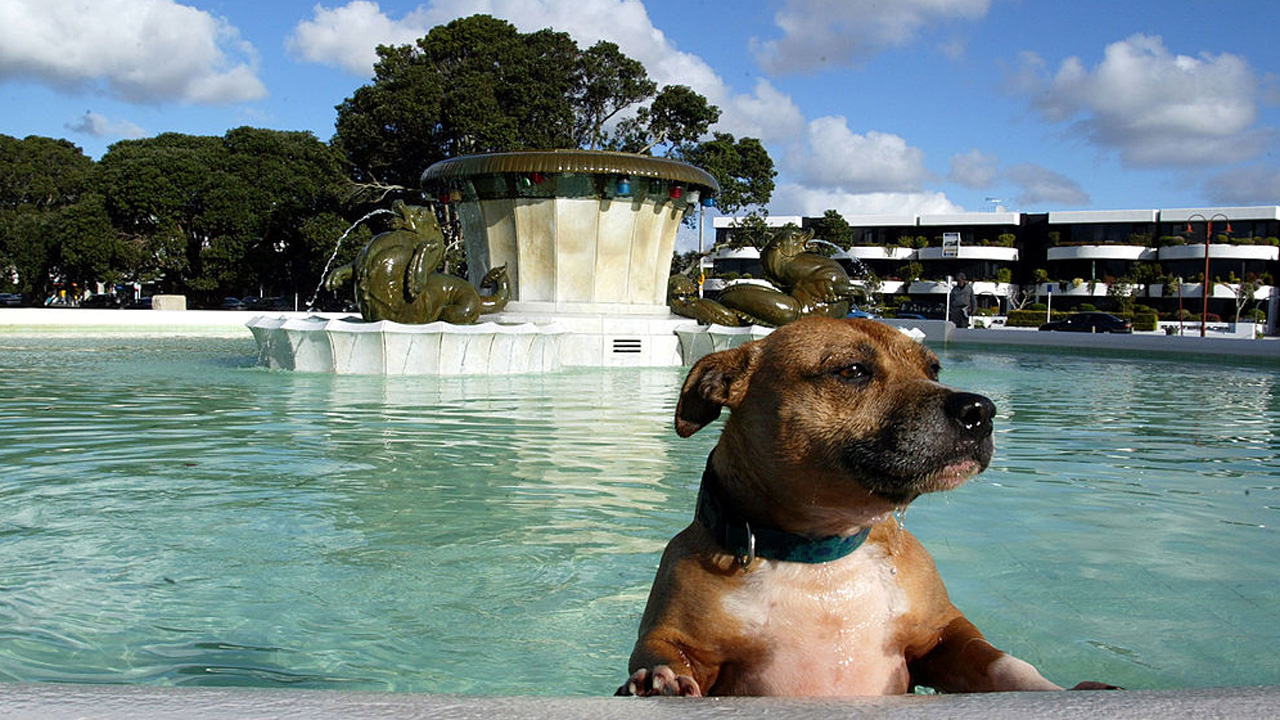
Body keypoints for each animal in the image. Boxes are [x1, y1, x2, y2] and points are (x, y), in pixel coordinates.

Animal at [618, 316, 1109, 696]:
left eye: (934, 368)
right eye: (853, 371)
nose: (980, 410)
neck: (821, 553)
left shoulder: (942, 634)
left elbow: (998, 661)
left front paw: (1060, 690)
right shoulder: (677, 638)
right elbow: (665, 655)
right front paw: (660, 681)